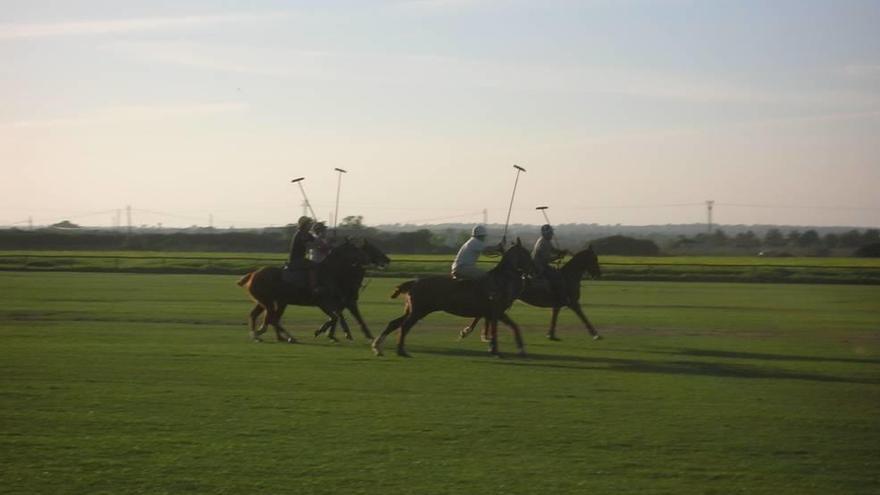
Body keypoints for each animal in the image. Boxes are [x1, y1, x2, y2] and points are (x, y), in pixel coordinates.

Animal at [372, 238, 536, 358]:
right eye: (526, 253)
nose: (534, 270)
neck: (502, 279)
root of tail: (414, 282)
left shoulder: (495, 313)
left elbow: (513, 327)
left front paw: (519, 350)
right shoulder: (496, 311)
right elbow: (496, 330)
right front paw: (495, 350)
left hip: (412, 310)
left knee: (394, 323)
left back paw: (378, 347)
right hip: (419, 311)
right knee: (405, 326)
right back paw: (401, 351)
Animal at [460, 246, 604, 342]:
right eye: (594, 259)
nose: (598, 274)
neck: (568, 276)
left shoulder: (558, 305)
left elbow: (554, 318)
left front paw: (551, 334)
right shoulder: (572, 303)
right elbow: (583, 316)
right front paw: (595, 334)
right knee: (482, 314)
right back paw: (468, 331)